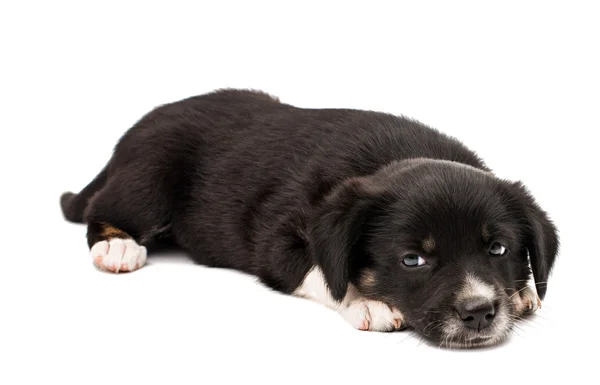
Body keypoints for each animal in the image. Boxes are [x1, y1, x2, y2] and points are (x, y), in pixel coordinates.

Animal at [59, 89, 556, 348]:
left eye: (498, 249)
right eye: (412, 260)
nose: (480, 312)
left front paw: (523, 291)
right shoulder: (278, 240)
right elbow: (324, 271)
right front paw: (367, 302)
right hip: (150, 176)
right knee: (102, 208)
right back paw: (117, 245)